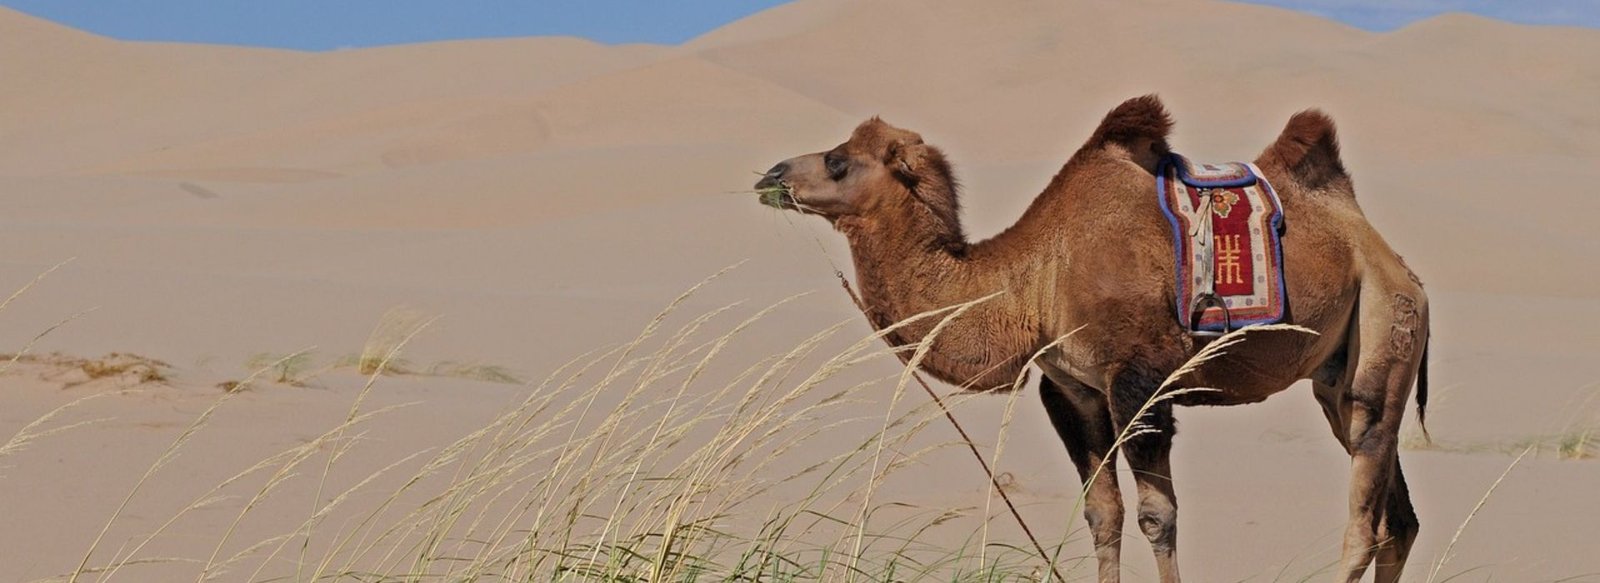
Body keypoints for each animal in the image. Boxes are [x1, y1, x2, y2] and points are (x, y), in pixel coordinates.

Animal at [752, 95, 1430, 583]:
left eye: (839, 161)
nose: (770, 174)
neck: (1033, 280)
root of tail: (1395, 261)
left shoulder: (1140, 383)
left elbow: (1159, 518)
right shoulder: (1073, 391)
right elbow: (1104, 516)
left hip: (1387, 320)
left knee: (1366, 516)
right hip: (1339, 373)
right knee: (1399, 517)